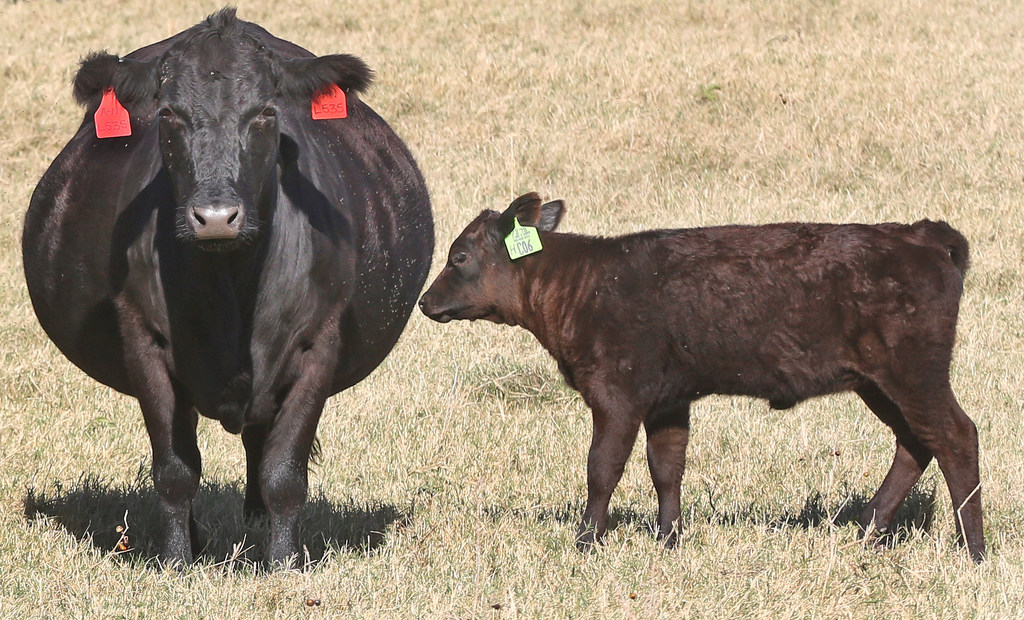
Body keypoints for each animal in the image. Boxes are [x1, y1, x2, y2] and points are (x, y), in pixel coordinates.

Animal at [22, 9, 433, 568]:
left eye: (265, 113)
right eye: (169, 115)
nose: (215, 217)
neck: (230, 293)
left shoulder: (318, 346)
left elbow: (285, 473)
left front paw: (284, 564)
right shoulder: (144, 341)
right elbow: (175, 470)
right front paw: (177, 560)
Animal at [419, 193, 984, 562]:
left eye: (459, 256)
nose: (424, 302)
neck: (583, 284)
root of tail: (920, 234)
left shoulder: (617, 393)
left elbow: (602, 468)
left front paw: (586, 542)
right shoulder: (669, 399)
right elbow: (667, 467)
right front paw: (669, 539)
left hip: (914, 371)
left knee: (956, 436)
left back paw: (972, 551)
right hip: (878, 381)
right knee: (916, 443)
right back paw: (868, 530)